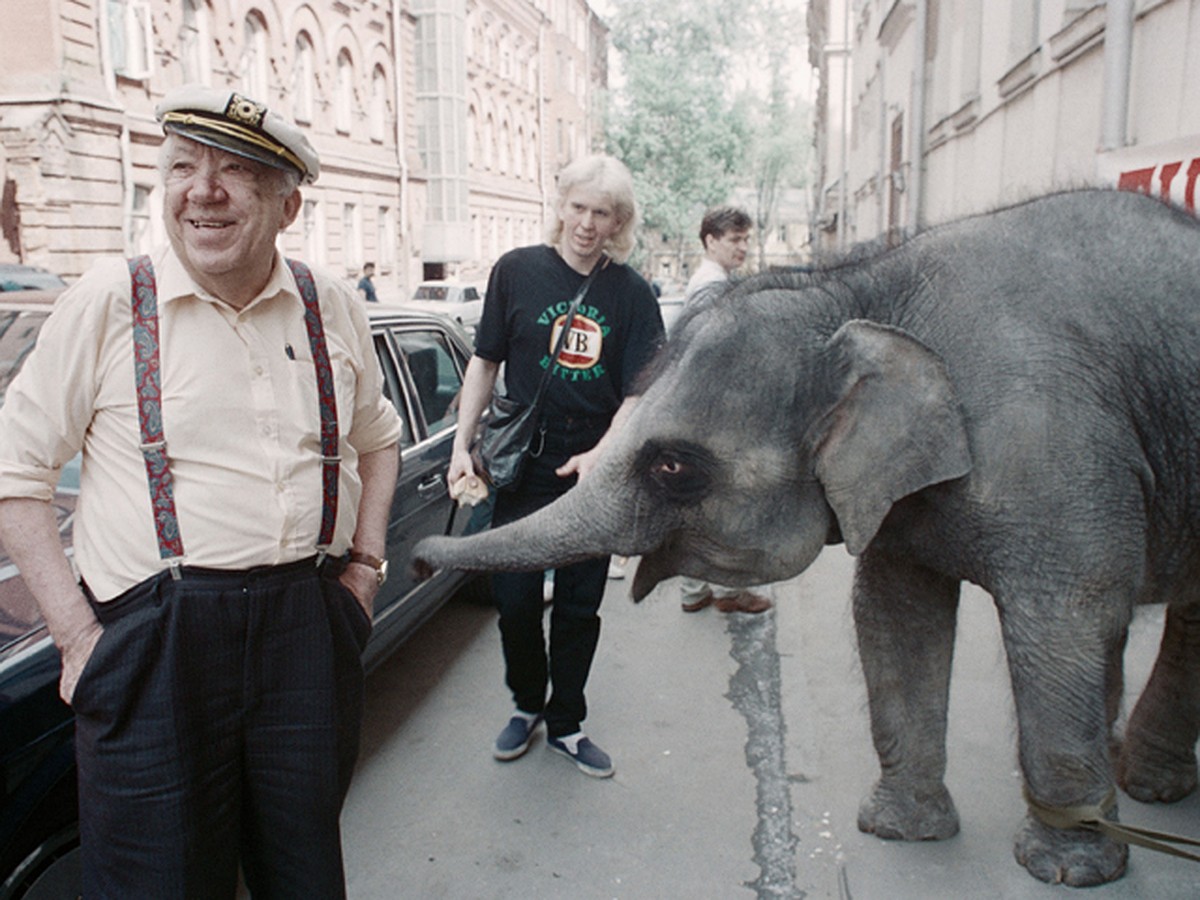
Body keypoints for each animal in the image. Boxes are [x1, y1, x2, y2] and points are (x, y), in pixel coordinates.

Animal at [417, 190, 1200, 888]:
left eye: (673, 466)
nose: (424, 551)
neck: (862, 289)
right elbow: (894, 613)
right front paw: (897, 830)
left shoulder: (1056, 457)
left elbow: (1064, 620)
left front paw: (1068, 870)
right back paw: (1138, 781)